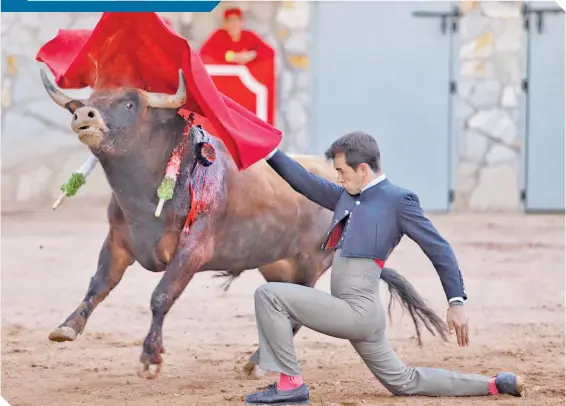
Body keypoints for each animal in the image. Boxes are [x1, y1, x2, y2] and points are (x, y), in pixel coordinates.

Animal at [40, 67, 450, 380]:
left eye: (129, 102)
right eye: (91, 98)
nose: (85, 115)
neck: (145, 194)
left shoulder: (193, 249)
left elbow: (161, 296)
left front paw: (150, 359)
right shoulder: (118, 242)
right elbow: (98, 285)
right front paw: (67, 327)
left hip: (311, 264)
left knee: (300, 315)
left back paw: (258, 364)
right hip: (277, 265)